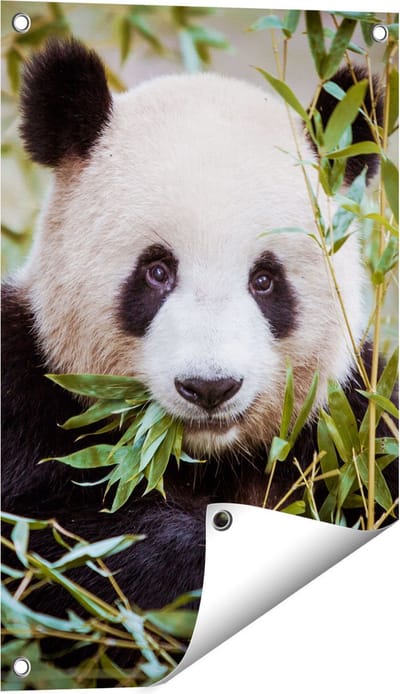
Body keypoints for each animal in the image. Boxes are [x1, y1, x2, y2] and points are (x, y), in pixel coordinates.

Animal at [1, 40, 397, 632]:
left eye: (265, 280)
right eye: (156, 271)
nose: (210, 387)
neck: (205, 457)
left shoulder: (354, 423)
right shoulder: (22, 394)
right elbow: (53, 549)